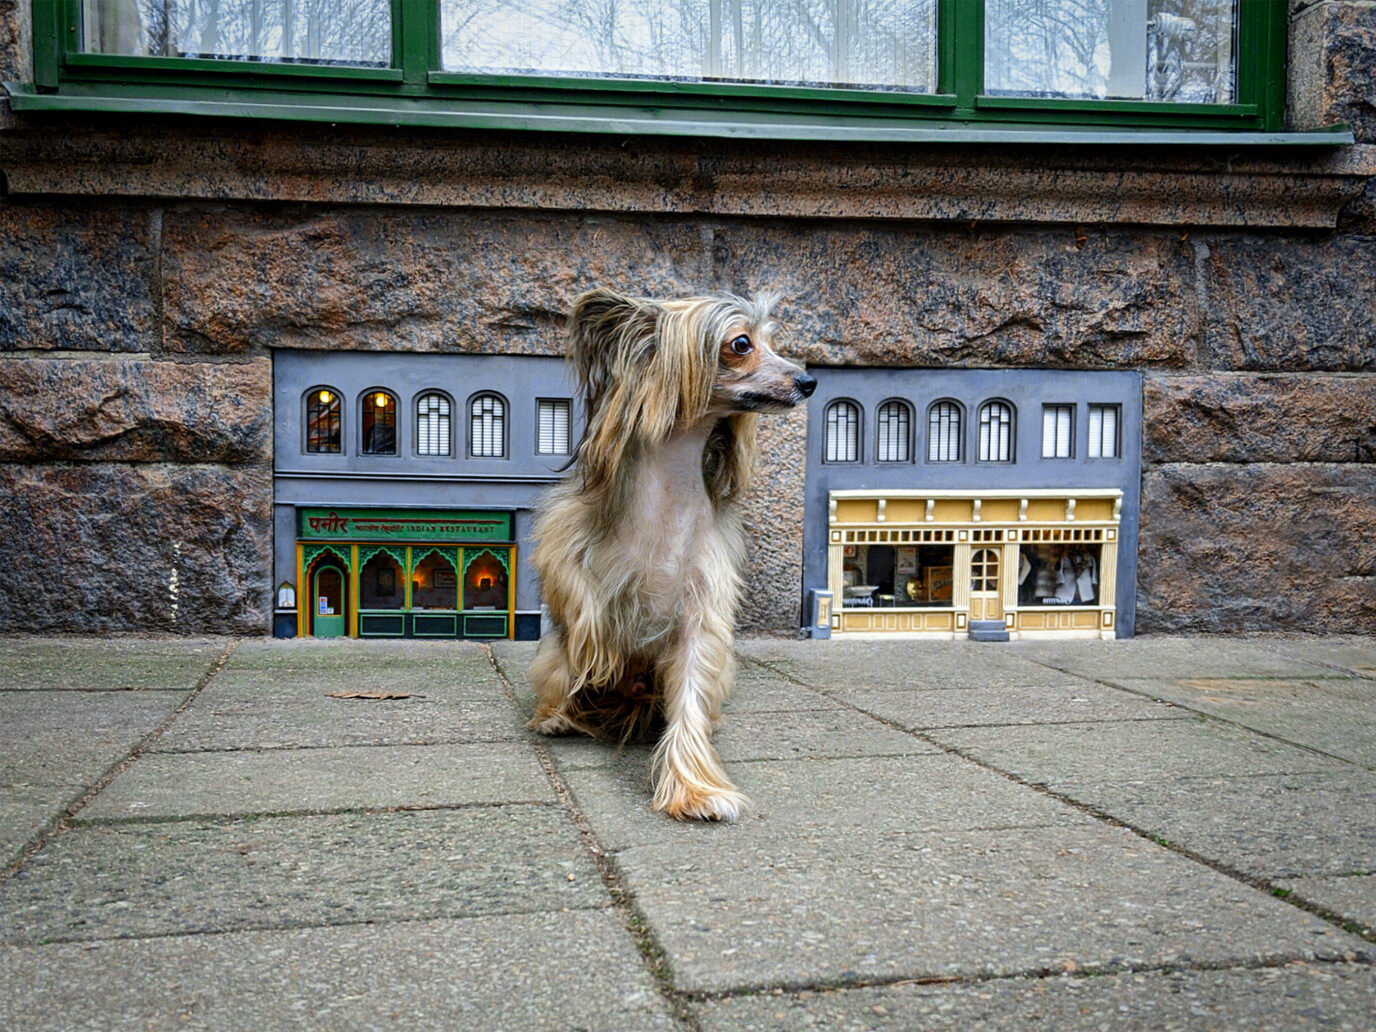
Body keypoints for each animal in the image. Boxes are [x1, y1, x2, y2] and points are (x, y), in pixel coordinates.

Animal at [531, 287, 814, 820]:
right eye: (741, 343)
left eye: (772, 341)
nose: (809, 380)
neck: (671, 490)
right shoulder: (566, 545)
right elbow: (580, 604)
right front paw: (599, 645)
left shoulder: (701, 618)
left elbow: (688, 703)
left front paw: (695, 789)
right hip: (554, 663)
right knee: (565, 679)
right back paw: (557, 716)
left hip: (721, 670)